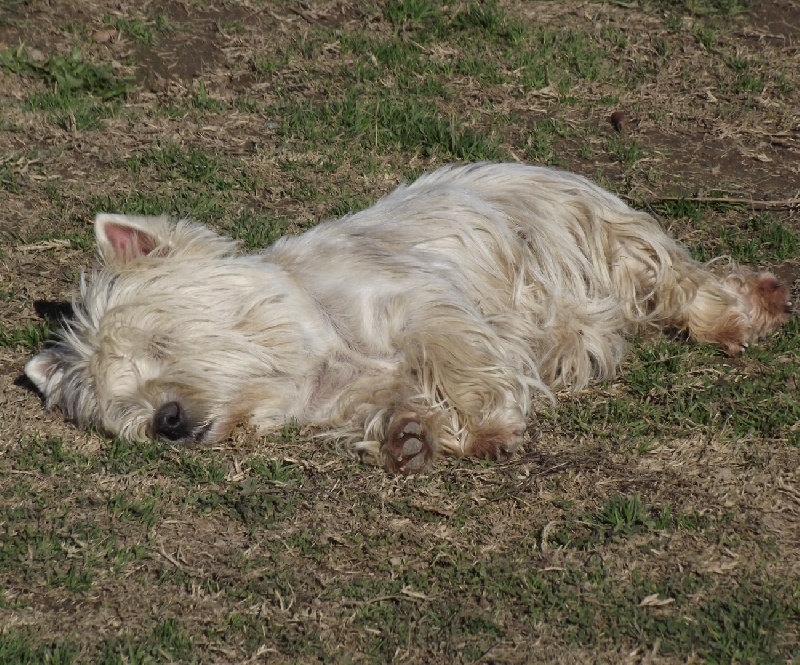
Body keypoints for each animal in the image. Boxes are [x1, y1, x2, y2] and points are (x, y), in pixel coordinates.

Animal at [25, 163, 792, 473]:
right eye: (122, 411)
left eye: (162, 339)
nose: (167, 420)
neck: (322, 350)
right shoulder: (350, 396)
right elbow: (398, 407)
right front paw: (411, 437)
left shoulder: (422, 303)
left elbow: (461, 361)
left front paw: (488, 428)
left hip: (608, 237)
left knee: (680, 282)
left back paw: (750, 309)